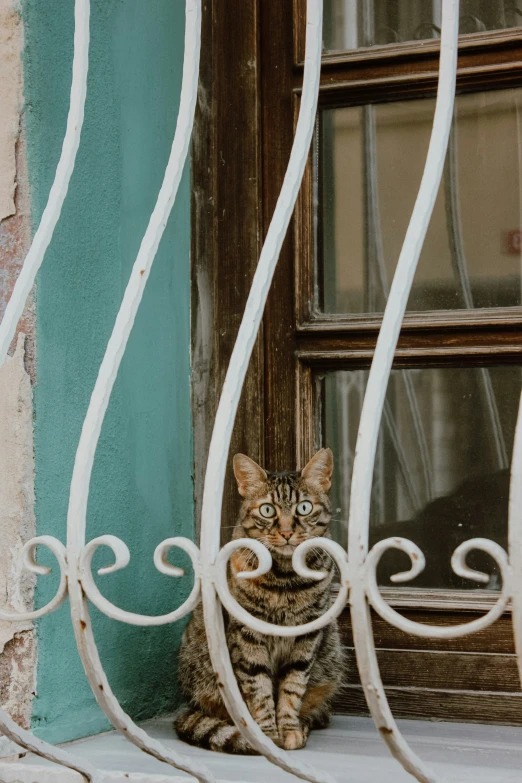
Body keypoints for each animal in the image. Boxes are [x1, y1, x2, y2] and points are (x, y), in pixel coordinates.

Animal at [175, 450, 344, 756]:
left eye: (304, 508)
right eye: (267, 510)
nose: (287, 532)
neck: (285, 578)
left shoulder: (307, 635)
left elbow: (292, 687)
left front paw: (288, 728)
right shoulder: (247, 635)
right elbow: (259, 689)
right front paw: (267, 735)